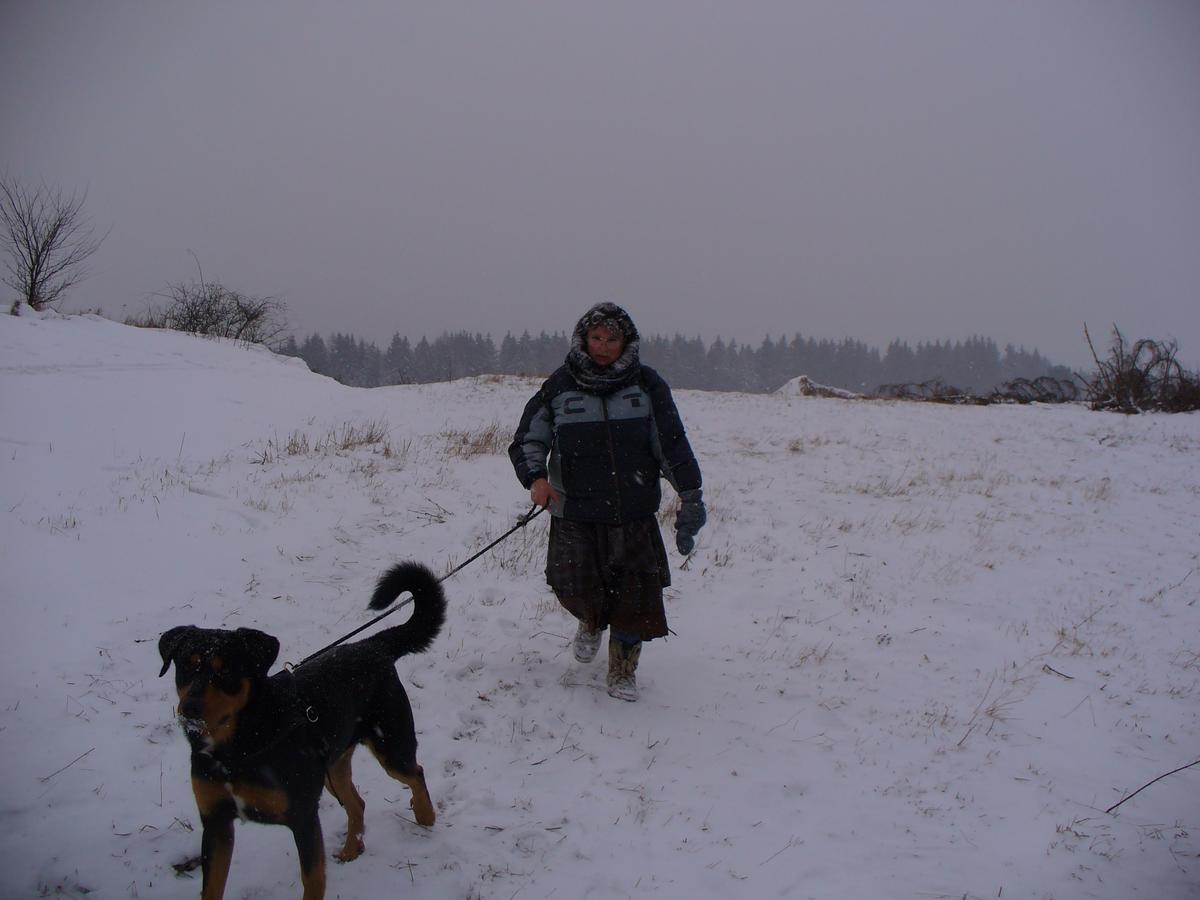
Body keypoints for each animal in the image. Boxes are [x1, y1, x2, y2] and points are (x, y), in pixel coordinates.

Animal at [157, 561, 444, 897]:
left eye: (225, 671)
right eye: (185, 666)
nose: (189, 709)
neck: (239, 747)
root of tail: (372, 645)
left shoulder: (303, 816)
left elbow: (313, 879)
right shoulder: (216, 823)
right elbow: (212, 887)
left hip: (391, 744)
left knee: (415, 773)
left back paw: (425, 815)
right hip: (333, 767)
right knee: (357, 803)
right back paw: (352, 849)